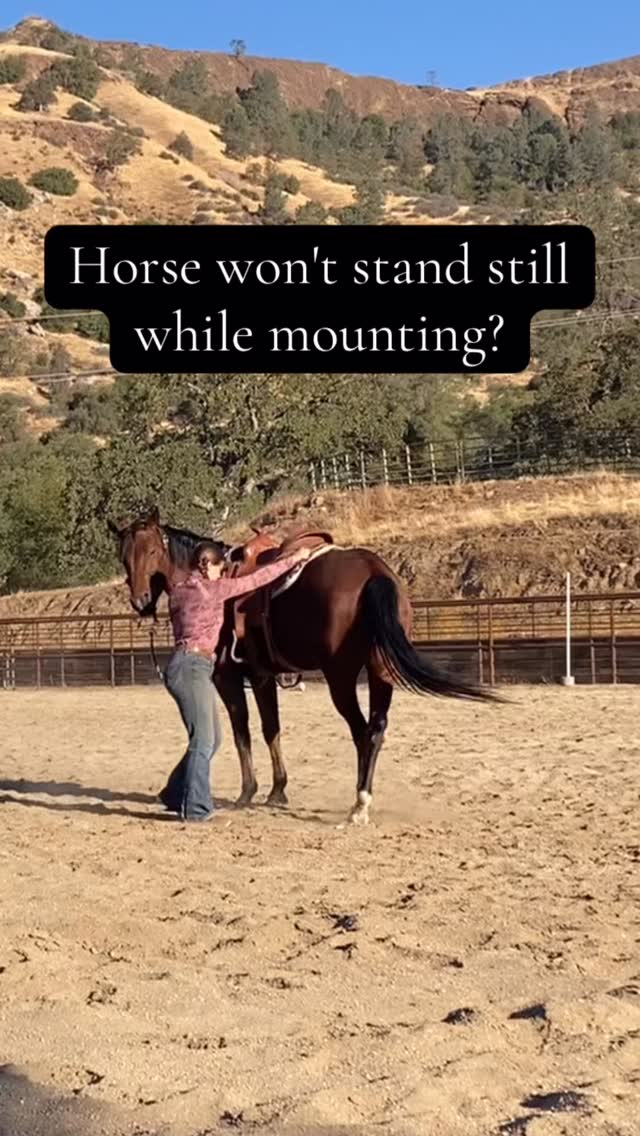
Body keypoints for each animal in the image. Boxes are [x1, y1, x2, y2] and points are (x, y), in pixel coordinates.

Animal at [109, 508, 501, 825]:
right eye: (124, 557)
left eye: (153, 551)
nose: (140, 601)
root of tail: (374, 572)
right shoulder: (265, 676)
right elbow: (272, 729)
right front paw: (277, 791)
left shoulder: (231, 678)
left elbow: (245, 732)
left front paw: (250, 792)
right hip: (379, 672)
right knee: (376, 729)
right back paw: (362, 800)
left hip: (340, 677)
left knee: (361, 731)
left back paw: (358, 805)